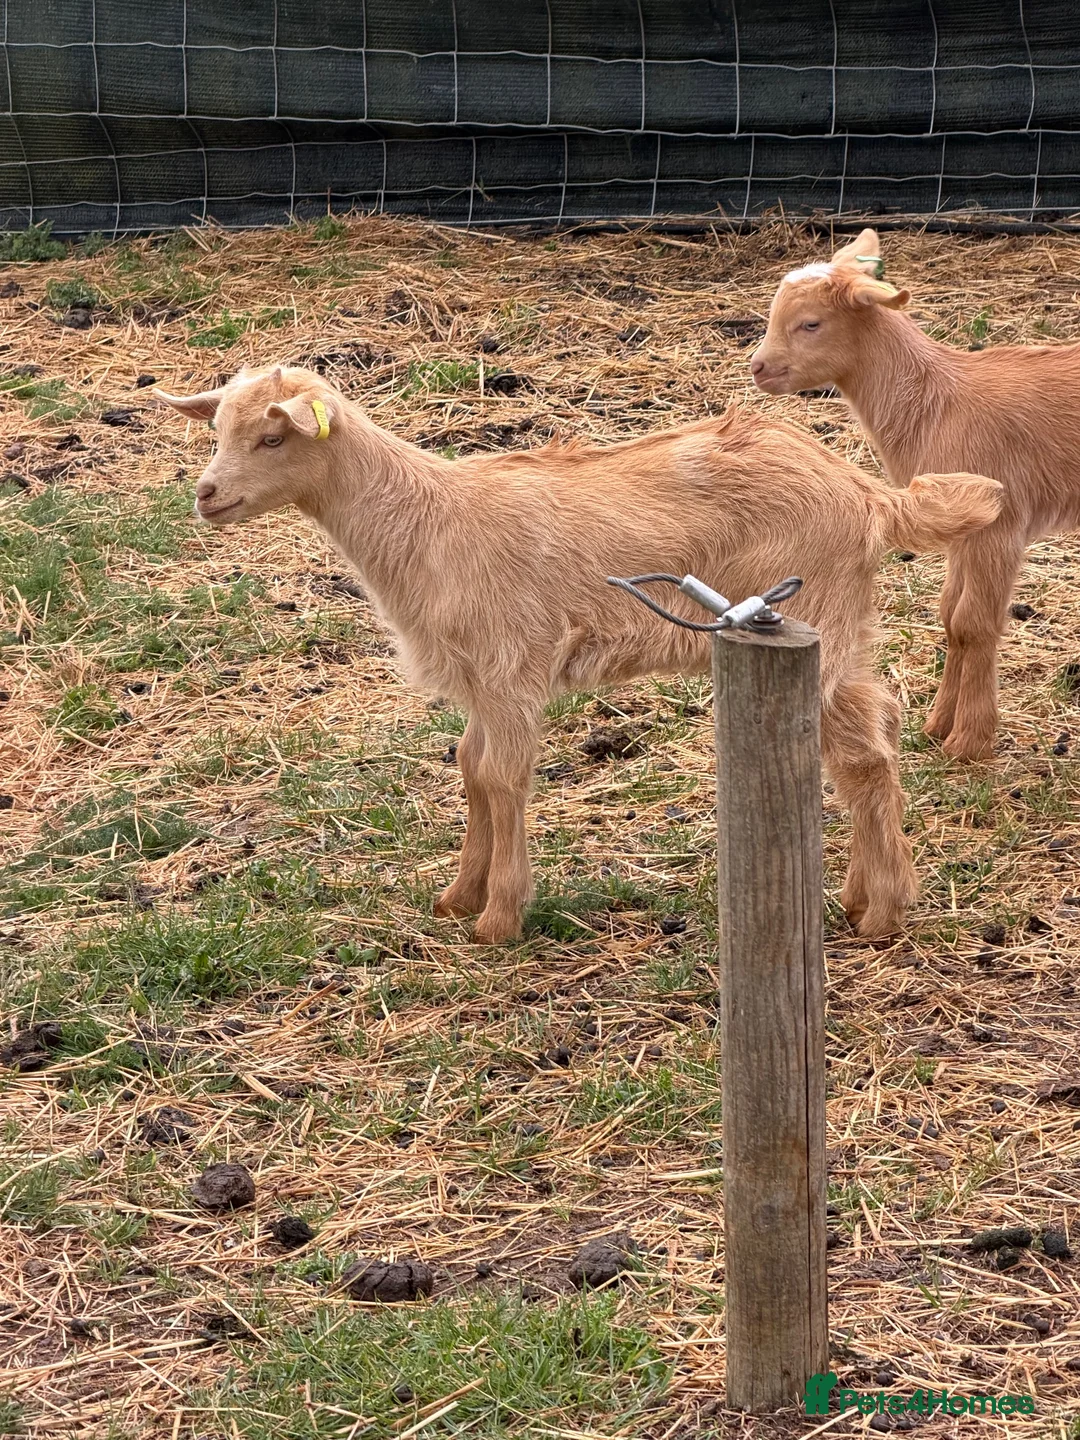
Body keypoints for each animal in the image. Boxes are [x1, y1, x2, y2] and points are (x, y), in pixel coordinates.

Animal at [156, 366, 1001, 942]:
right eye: (217, 430)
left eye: (272, 437)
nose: (206, 495)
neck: (427, 523)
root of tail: (869, 495)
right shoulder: (479, 678)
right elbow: (470, 769)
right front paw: (458, 896)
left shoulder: (508, 665)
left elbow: (502, 776)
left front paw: (499, 915)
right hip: (831, 632)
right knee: (871, 734)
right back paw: (864, 895)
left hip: (812, 616)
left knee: (861, 754)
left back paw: (883, 913)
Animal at [751, 227, 1080, 760]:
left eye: (810, 323)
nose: (758, 367)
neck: (938, 402)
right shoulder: (963, 521)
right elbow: (950, 617)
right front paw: (937, 726)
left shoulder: (1001, 526)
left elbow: (974, 622)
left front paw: (969, 741)